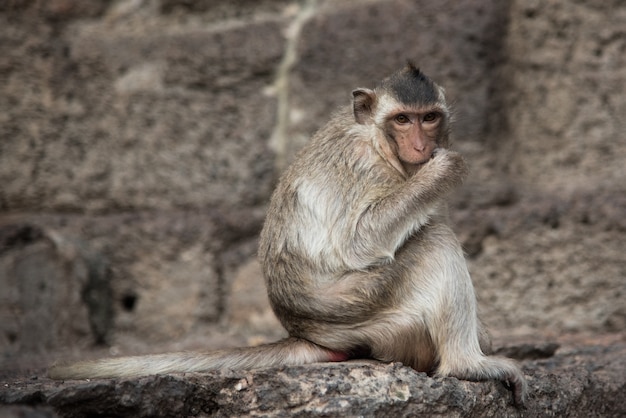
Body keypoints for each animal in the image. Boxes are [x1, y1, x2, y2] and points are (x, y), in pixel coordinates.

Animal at [48, 63, 524, 406]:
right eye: (403, 120)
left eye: (429, 119)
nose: (421, 147)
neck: (377, 140)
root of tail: (308, 334)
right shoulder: (363, 166)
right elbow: (360, 242)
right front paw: (445, 169)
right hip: (368, 312)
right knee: (434, 240)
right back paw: (466, 365)